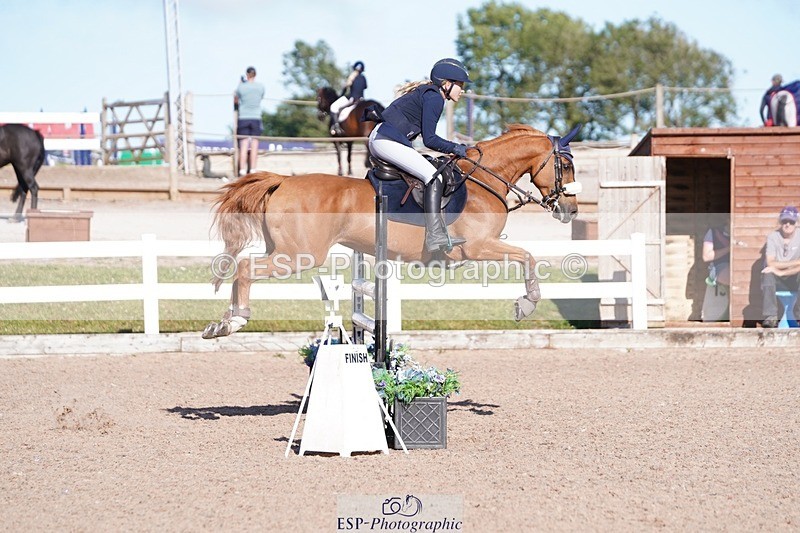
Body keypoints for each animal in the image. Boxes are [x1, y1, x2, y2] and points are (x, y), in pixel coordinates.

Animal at [201, 123, 582, 339]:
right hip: (299, 256)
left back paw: (221, 324)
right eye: (564, 165)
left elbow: (526, 257)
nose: (571, 210)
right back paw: (235, 322)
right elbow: (528, 257)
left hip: (282, 250)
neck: (482, 182)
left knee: (243, 267)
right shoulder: (478, 247)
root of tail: (282, 180)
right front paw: (526, 305)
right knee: (246, 268)